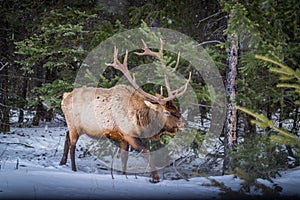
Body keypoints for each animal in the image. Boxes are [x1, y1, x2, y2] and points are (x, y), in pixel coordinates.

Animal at [59, 39, 191, 183]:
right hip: (74, 125)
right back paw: (73, 169)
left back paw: (62, 162)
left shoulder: (122, 136)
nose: (185, 123)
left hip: (73, 126)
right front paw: (155, 177)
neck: (142, 121)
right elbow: (146, 150)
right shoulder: (129, 134)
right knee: (72, 145)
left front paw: (124, 176)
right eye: (166, 112)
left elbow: (124, 158)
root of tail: (64, 97)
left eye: (176, 108)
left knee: (66, 136)